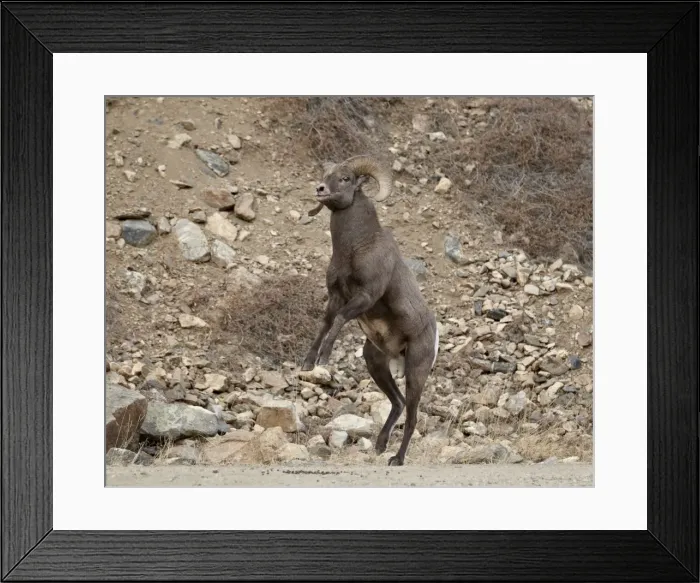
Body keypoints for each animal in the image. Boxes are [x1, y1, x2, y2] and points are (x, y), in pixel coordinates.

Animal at [302, 155, 439, 466]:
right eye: (325, 175)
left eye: (345, 179)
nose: (320, 189)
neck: (354, 247)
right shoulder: (336, 296)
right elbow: (325, 323)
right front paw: (309, 363)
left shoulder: (364, 297)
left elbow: (339, 319)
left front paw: (325, 358)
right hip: (375, 362)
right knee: (398, 403)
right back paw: (379, 445)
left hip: (416, 372)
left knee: (412, 416)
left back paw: (396, 459)